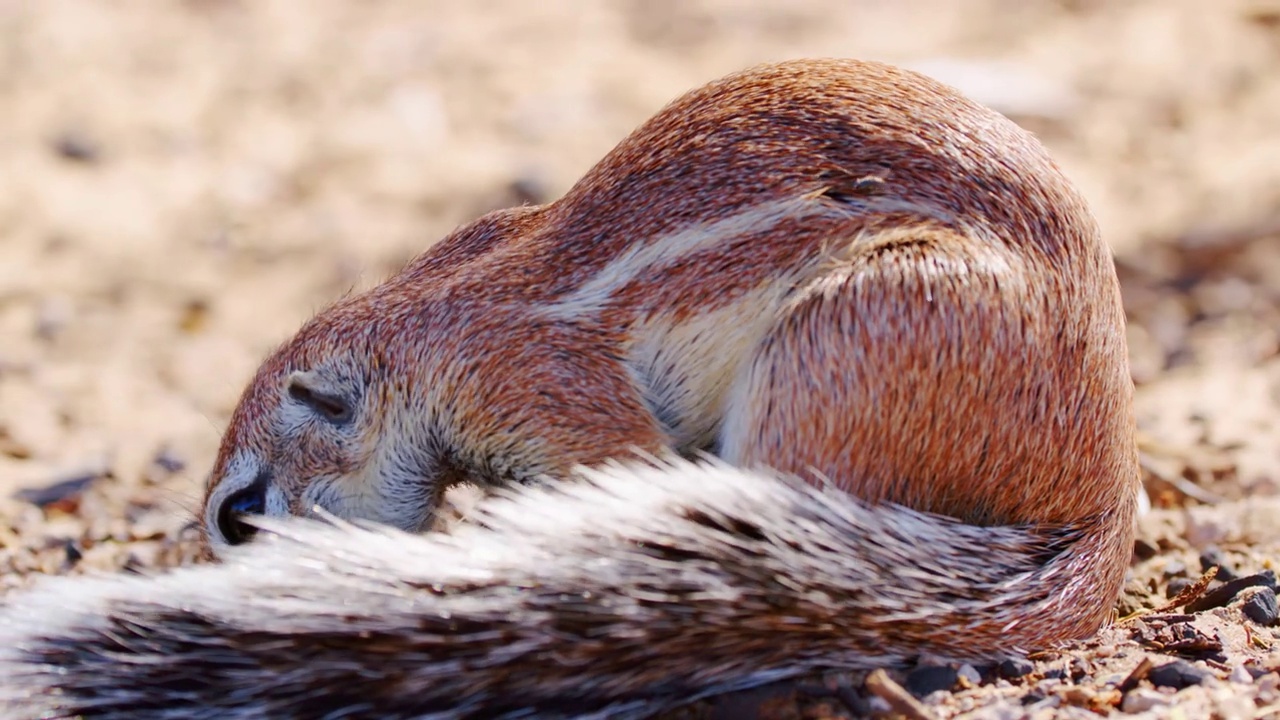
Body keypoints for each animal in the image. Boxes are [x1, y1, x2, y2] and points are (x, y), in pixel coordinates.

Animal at [0, 58, 1141, 712]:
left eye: (238, 516)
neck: (413, 331)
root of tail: (1103, 492)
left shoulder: (526, 381)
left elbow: (618, 451)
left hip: (846, 337)